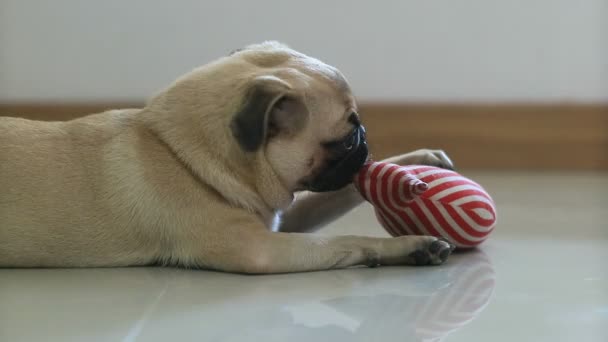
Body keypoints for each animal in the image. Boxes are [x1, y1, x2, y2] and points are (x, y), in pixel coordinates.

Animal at [0, 41, 454, 274]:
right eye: (343, 140)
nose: (364, 143)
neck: (177, 153)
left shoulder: (279, 218)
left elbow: (340, 196)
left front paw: (423, 158)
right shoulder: (261, 248)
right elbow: (346, 240)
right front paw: (412, 245)